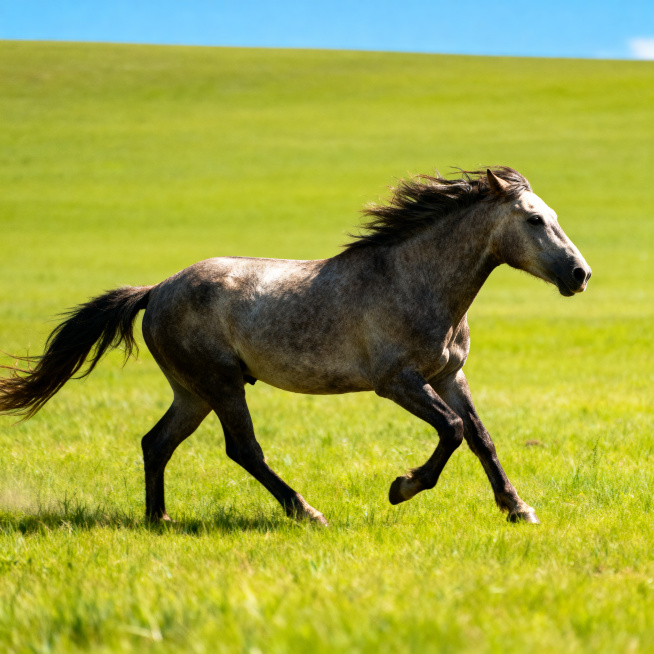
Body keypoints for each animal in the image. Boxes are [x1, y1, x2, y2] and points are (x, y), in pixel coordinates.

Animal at [0, 167, 591, 525]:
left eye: (556, 217)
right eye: (534, 219)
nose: (580, 275)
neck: (415, 281)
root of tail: (156, 290)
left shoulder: (449, 376)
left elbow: (481, 437)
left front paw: (518, 509)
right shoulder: (396, 381)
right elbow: (452, 429)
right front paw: (402, 487)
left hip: (192, 392)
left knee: (156, 443)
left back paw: (159, 519)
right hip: (220, 383)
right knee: (242, 449)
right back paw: (305, 511)